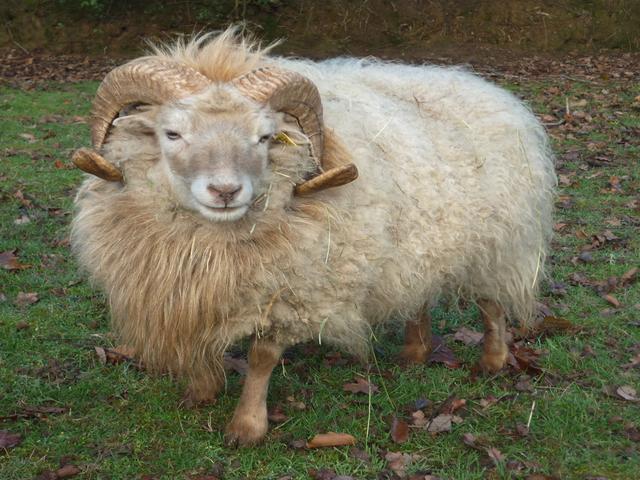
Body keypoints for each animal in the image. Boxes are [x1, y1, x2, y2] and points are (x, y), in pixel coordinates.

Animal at [71, 28, 556, 446]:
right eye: (172, 133)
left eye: (265, 137)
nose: (225, 191)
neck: (210, 242)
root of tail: (485, 87)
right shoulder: (189, 292)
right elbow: (200, 349)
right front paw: (202, 392)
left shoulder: (293, 290)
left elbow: (262, 359)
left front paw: (247, 426)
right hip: (421, 242)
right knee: (417, 290)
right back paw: (415, 352)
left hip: (497, 243)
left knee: (492, 303)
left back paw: (493, 361)